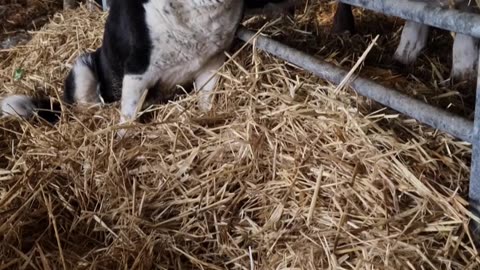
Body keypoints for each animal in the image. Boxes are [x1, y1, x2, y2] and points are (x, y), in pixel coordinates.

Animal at [0, 0, 296, 136]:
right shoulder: (137, 71)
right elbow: (129, 117)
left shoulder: (211, 64)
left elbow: (206, 102)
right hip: (83, 68)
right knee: (89, 107)